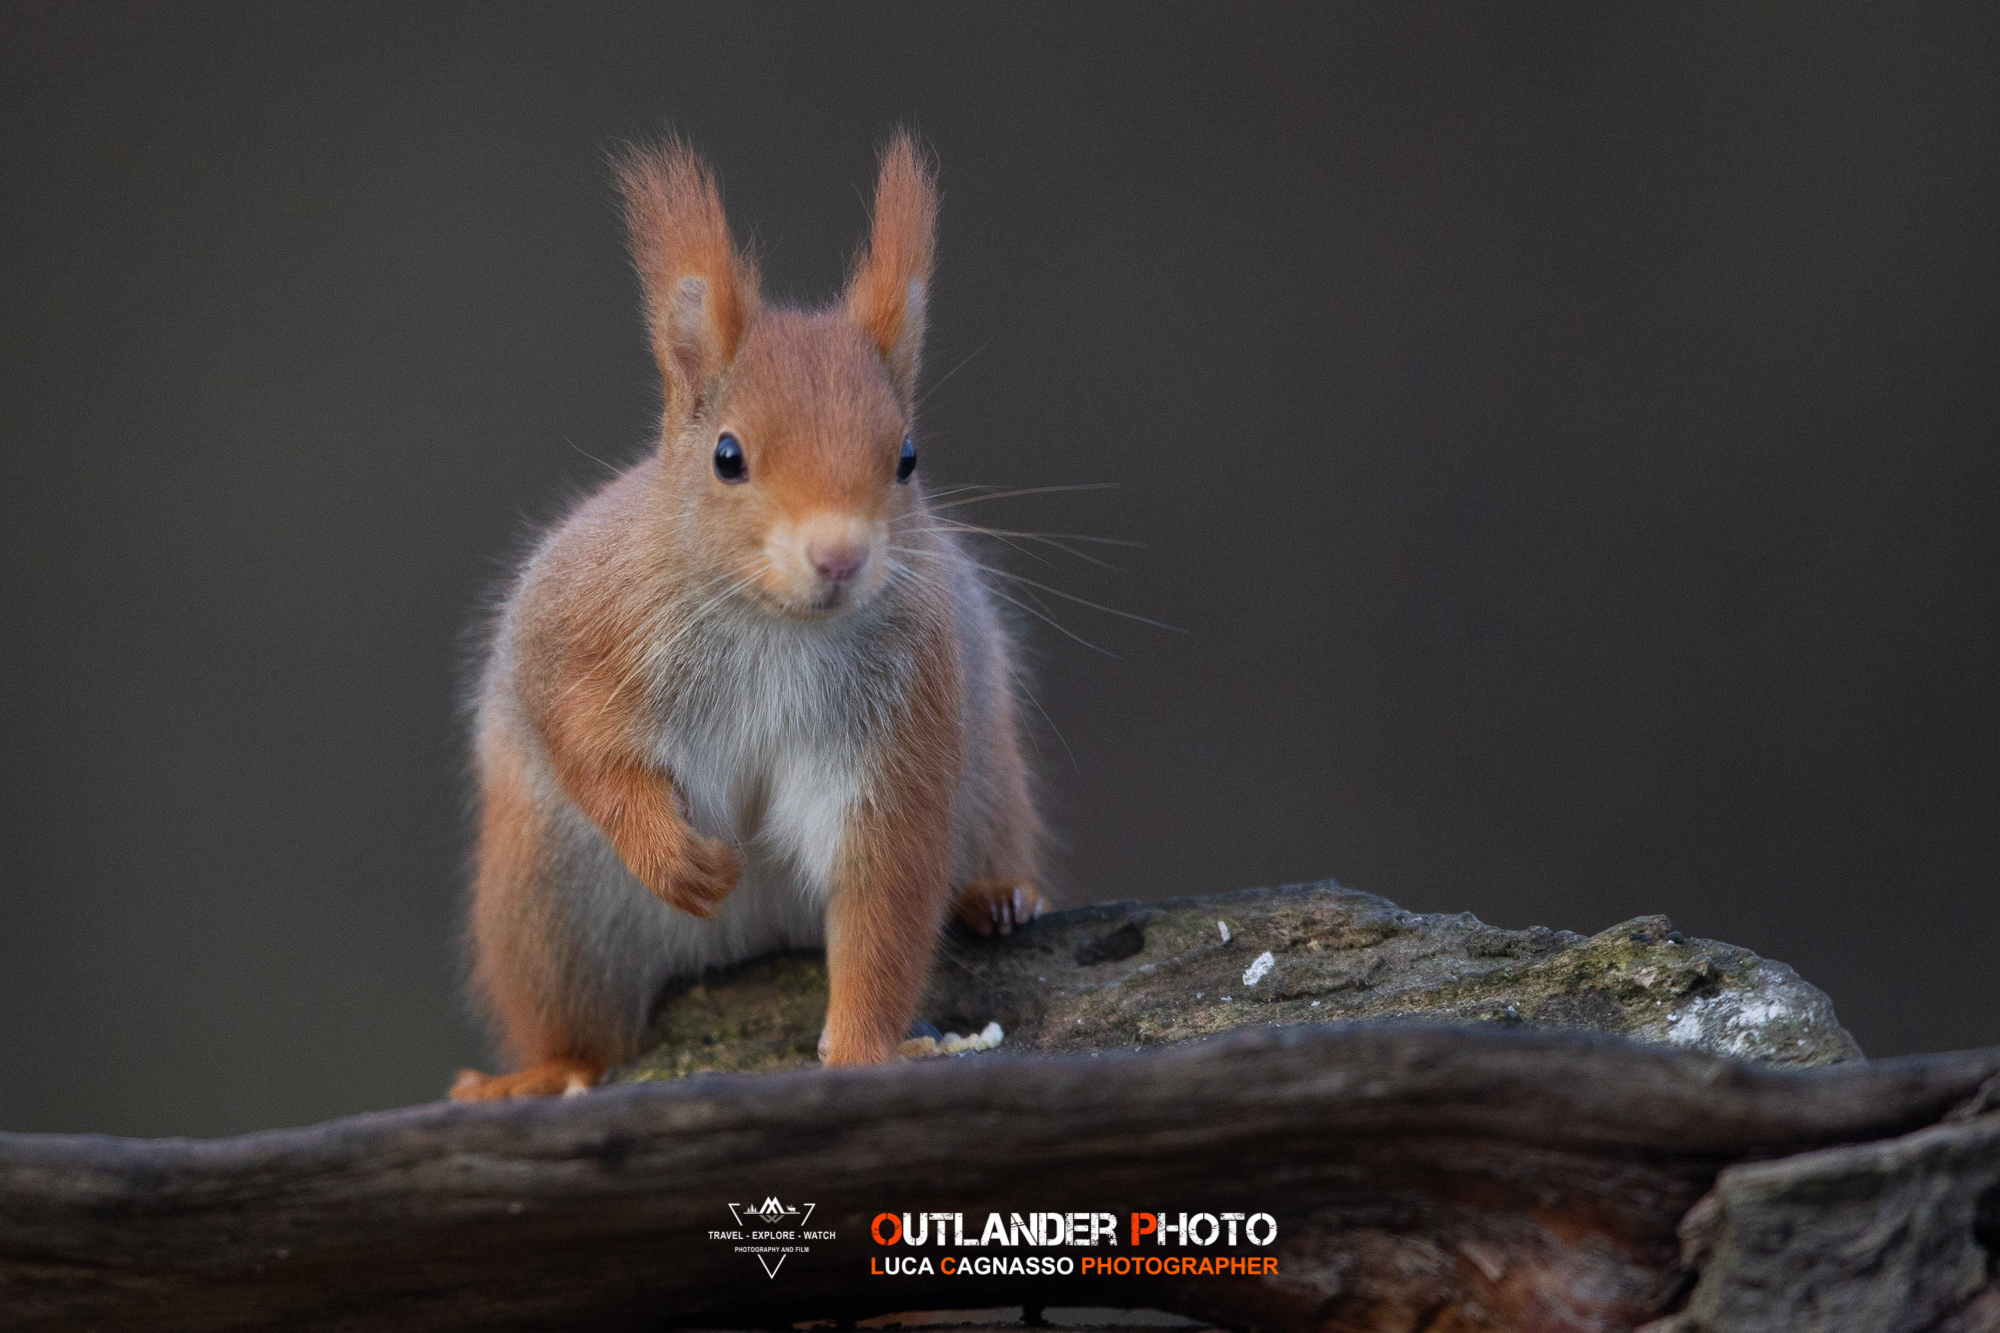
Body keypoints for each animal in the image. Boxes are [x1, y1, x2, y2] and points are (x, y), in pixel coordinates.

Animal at [450, 133, 1047, 1099]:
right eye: (727, 456)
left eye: (907, 457)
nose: (839, 556)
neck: (777, 624)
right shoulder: (577, 623)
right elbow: (570, 727)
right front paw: (672, 853)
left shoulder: (907, 716)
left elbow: (885, 890)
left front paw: (866, 1050)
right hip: (549, 903)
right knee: (585, 1028)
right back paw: (545, 1072)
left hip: (992, 776)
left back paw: (999, 895)